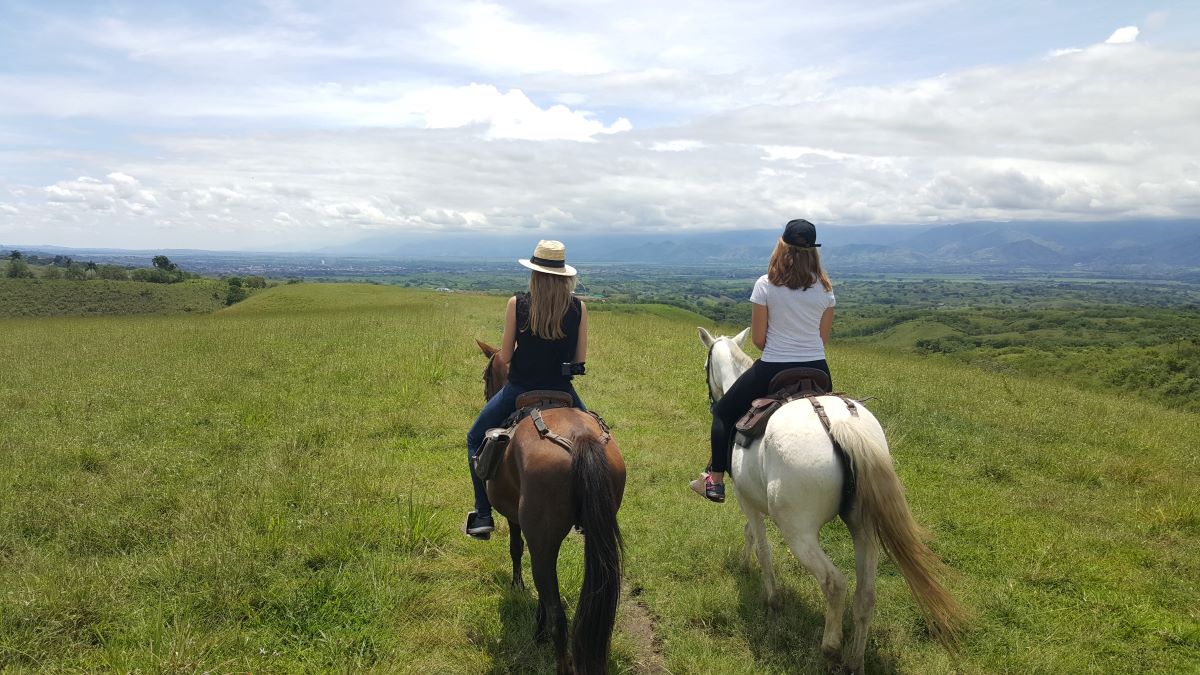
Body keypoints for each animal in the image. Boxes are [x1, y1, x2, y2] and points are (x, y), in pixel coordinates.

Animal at [475, 341, 628, 672]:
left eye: (485, 376)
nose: (487, 395)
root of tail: (581, 439)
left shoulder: (518, 521)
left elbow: (516, 550)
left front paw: (518, 588)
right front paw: (537, 629)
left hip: (543, 537)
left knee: (558, 614)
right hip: (596, 533)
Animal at [700, 324, 960, 667]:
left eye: (705, 366)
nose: (712, 400)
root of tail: (839, 424)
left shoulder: (747, 500)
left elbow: (761, 546)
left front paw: (771, 598)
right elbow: (751, 535)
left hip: (798, 531)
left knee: (835, 583)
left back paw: (831, 647)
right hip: (864, 528)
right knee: (866, 595)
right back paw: (854, 661)